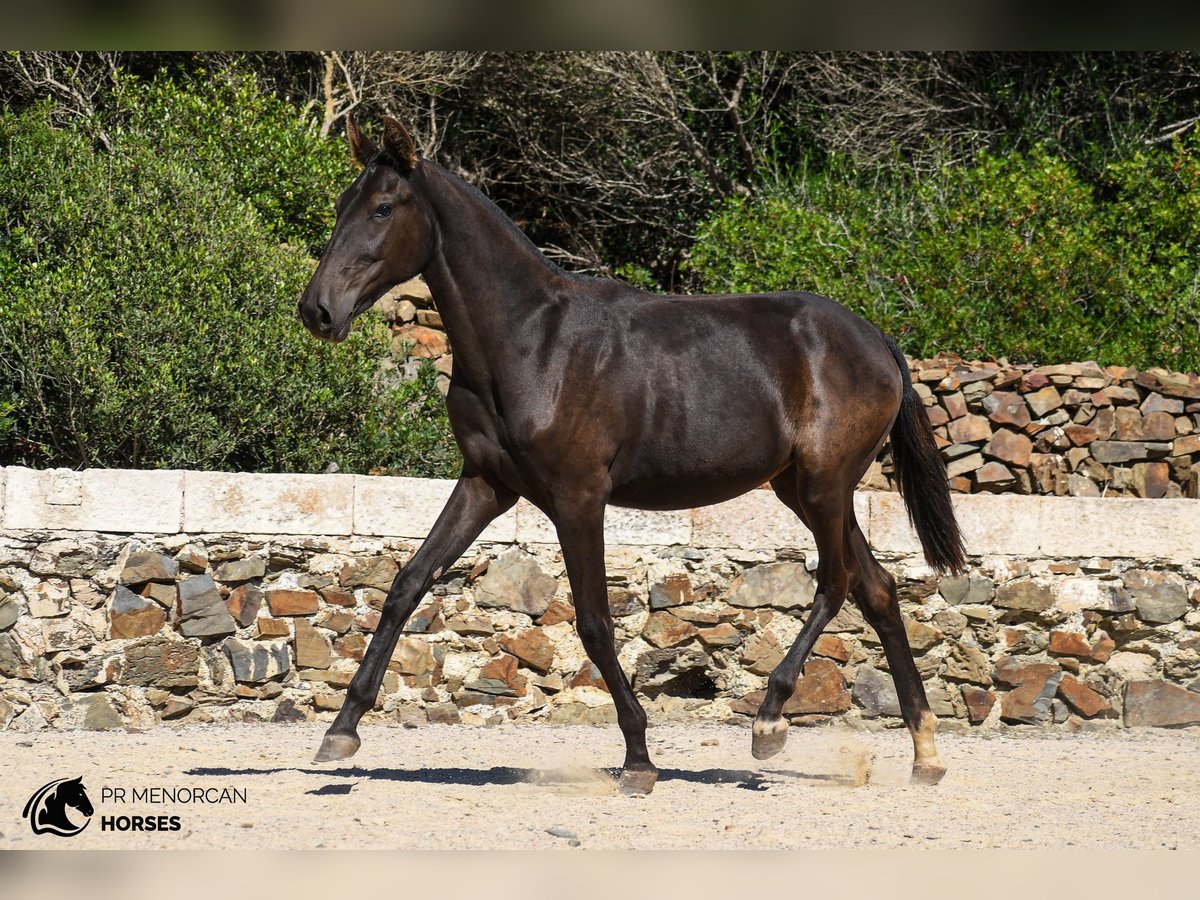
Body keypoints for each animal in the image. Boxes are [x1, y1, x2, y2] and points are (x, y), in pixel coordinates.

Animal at [300, 116, 964, 792]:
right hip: (803, 489)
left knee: (836, 582)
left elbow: (594, 622)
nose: (317, 311)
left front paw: (639, 759)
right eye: (342, 204)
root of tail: (878, 340)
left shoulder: (578, 496)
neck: (530, 342)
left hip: (825, 485)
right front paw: (341, 731)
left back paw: (770, 722)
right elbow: (407, 583)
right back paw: (926, 754)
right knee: (877, 589)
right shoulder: (487, 483)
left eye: (383, 208)